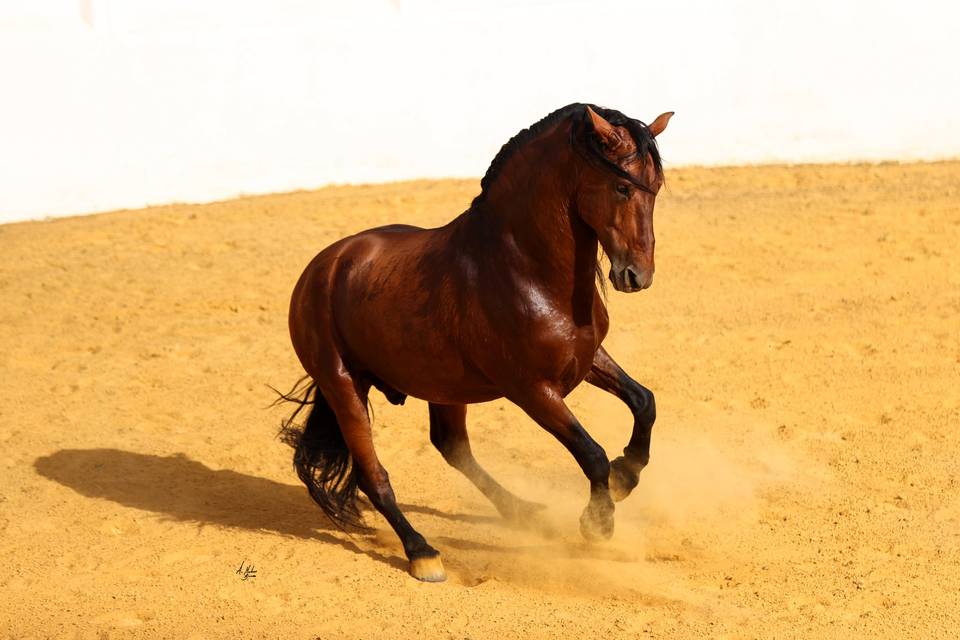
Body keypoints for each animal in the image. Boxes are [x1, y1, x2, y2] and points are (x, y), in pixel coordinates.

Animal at [280, 102, 676, 584]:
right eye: (622, 186)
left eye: (655, 188)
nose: (637, 275)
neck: (523, 267)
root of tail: (322, 268)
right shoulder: (532, 390)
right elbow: (592, 453)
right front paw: (597, 525)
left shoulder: (586, 360)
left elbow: (644, 401)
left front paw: (626, 476)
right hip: (343, 384)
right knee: (374, 475)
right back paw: (423, 554)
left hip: (442, 387)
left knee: (451, 447)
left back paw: (526, 513)